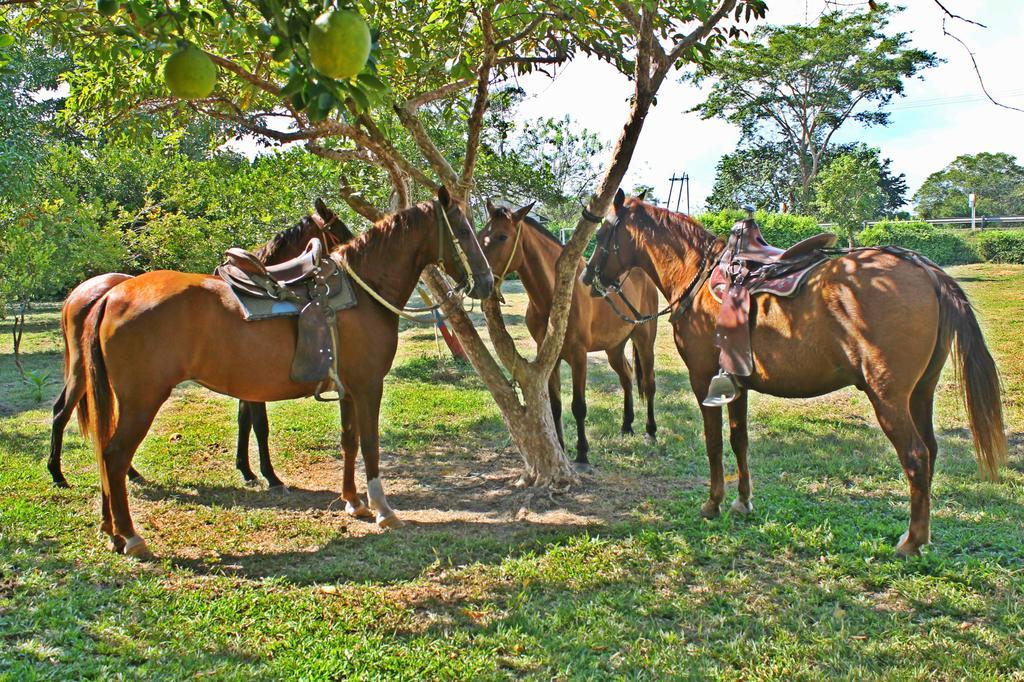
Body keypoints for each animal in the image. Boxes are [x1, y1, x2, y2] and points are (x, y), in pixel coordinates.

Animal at [47, 196, 352, 489]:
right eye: (337, 230)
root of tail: (92, 294)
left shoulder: (247, 384)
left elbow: (244, 422)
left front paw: (246, 470)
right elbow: (259, 426)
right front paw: (269, 476)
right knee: (65, 414)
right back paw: (60, 474)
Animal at [78, 187, 491, 557]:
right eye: (464, 229)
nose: (487, 282)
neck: (364, 292)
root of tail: (112, 295)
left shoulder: (347, 389)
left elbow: (349, 441)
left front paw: (353, 502)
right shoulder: (368, 386)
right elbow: (370, 444)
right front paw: (382, 510)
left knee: (106, 455)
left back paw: (112, 532)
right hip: (142, 400)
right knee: (114, 456)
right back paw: (131, 537)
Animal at [477, 200, 659, 466]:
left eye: (502, 236)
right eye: (481, 234)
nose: (475, 278)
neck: (555, 298)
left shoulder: (578, 356)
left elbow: (578, 406)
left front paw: (582, 453)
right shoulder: (549, 359)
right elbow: (555, 405)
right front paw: (561, 448)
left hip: (644, 339)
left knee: (649, 382)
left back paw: (651, 431)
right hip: (614, 347)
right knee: (626, 376)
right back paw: (626, 425)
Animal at [585, 188, 1007, 557]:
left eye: (603, 233)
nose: (588, 277)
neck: (700, 278)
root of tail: (928, 271)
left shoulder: (703, 379)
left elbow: (714, 443)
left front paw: (713, 503)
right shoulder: (736, 384)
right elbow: (739, 440)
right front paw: (742, 502)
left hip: (888, 397)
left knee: (916, 456)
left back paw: (911, 542)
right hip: (921, 393)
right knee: (930, 451)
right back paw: (921, 535)